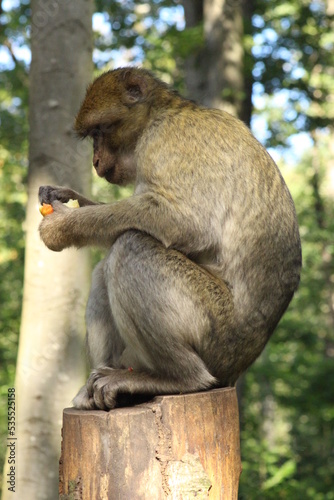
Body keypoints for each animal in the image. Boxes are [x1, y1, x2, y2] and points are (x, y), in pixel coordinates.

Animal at [37, 67, 302, 410]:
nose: (94, 161)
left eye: (100, 131)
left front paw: (61, 225)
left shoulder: (166, 141)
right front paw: (65, 196)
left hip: (215, 334)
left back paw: (179, 378)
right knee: (107, 264)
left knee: (130, 246)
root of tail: (237, 369)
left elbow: (185, 222)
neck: (161, 113)